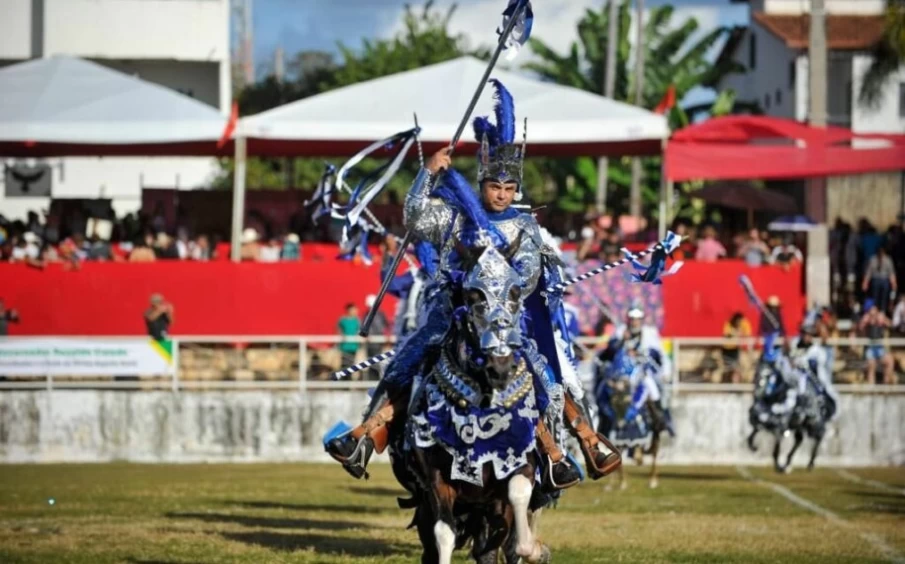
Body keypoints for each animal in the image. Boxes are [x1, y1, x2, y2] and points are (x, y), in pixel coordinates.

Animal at [388, 247, 556, 564]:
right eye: (473, 299)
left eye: (516, 295)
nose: (500, 366)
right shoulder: (437, 482)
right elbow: (445, 533)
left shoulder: (519, 466)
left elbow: (517, 499)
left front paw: (536, 550)